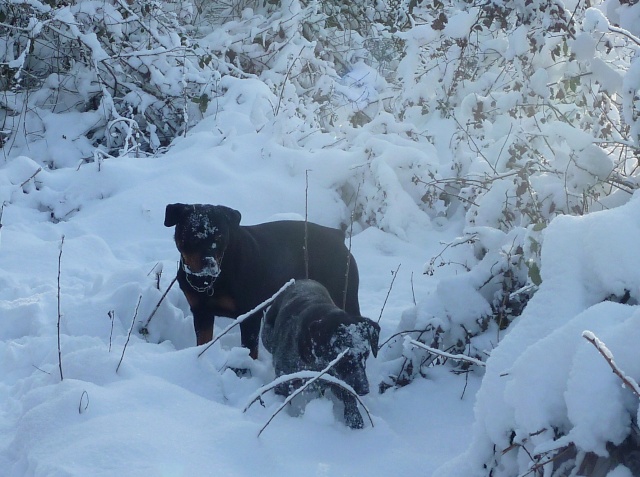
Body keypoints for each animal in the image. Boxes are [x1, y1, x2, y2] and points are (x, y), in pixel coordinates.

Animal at [162, 204, 362, 356]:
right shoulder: (201, 312)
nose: (209, 262)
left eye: (220, 237)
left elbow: (250, 350)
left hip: (344, 294)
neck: (211, 280)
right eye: (192, 235)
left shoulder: (250, 315)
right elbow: (203, 341)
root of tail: (338, 236)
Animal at [262, 278, 380, 428]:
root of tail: (300, 280)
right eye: (342, 356)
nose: (364, 389)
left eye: (366, 354)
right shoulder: (283, 382)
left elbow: (348, 399)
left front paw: (355, 419)